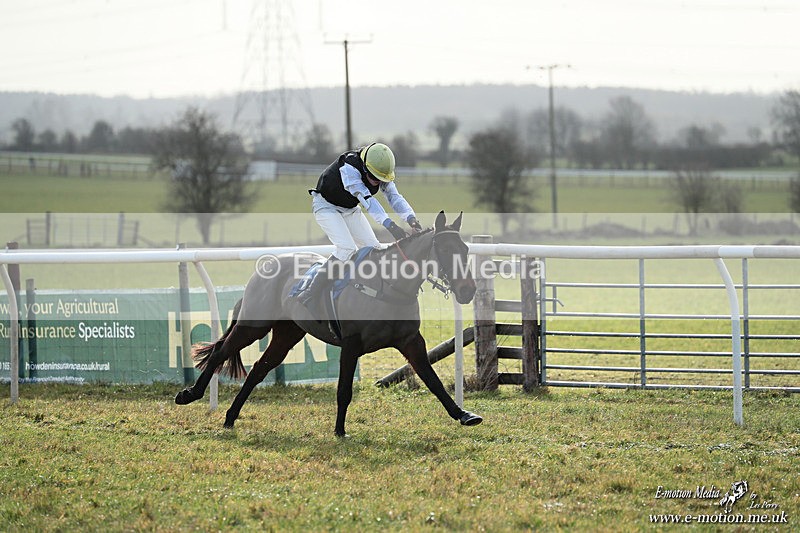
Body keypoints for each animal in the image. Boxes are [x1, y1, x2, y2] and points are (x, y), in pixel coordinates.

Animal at [175, 211, 482, 437]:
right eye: (445, 248)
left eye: (466, 248)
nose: (468, 290)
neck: (389, 285)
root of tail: (264, 268)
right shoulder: (351, 344)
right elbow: (344, 390)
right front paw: (339, 431)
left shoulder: (411, 341)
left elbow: (433, 381)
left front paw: (464, 414)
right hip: (254, 323)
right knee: (220, 351)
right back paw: (190, 394)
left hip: (287, 334)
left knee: (259, 369)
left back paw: (230, 417)